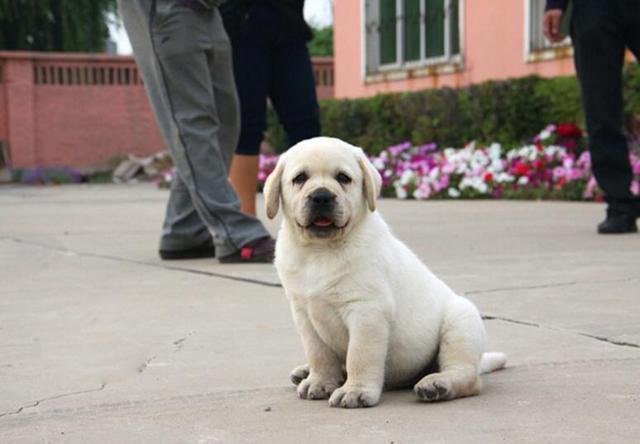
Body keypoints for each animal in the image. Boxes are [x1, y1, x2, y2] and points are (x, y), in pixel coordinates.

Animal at [262, 137, 508, 408]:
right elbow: (318, 353)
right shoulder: (304, 313)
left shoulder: (366, 311)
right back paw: (307, 372)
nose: (321, 196)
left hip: (460, 323)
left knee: (467, 376)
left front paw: (355, 390)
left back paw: (438, 384)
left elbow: (359, 355)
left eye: (343, 178)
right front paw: (319, 380)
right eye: (300, 178)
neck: (320, 251)